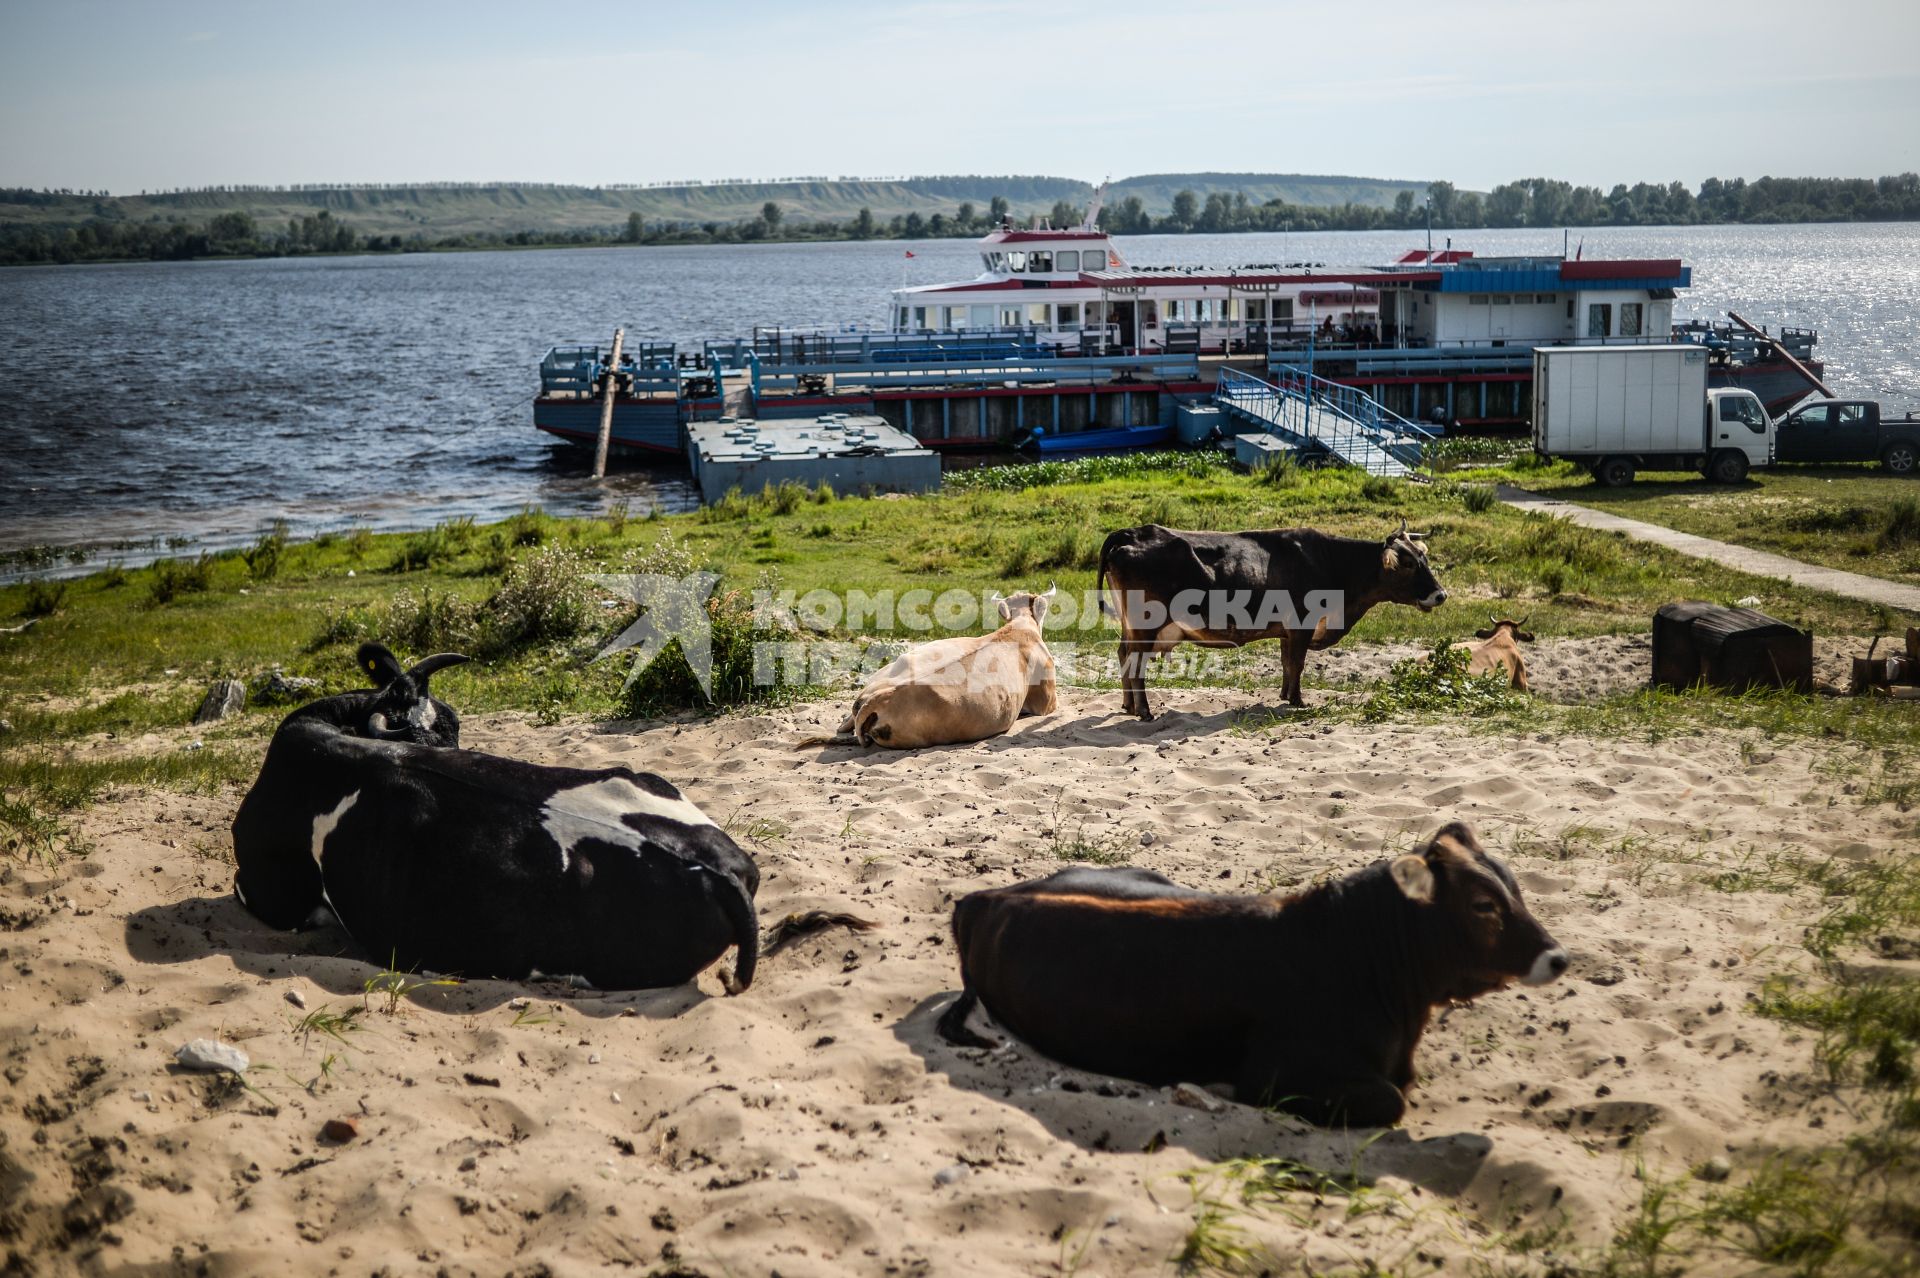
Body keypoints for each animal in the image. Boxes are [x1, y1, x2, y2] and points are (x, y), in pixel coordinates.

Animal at [936, 817, 1566, 1128]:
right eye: (1483, 904)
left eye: (1514, 886)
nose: (1557, 956)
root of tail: (983, 898)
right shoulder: (1277, 1075)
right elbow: (1390, 1100)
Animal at [1098, 521, 1443, 717]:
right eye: (1408, 563)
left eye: (1425, 557)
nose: (1440, 595)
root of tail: (1134, 533)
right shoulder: (1302, 624)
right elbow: (1298, 663)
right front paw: (1298, 701)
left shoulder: (1287, 631)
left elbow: (1287, 662)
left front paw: (1285, 695)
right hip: (1146, 624)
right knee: (1135, 662)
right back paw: (1144, 712)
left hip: (1130, 626)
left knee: (1123, 655)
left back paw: (1129, 706)